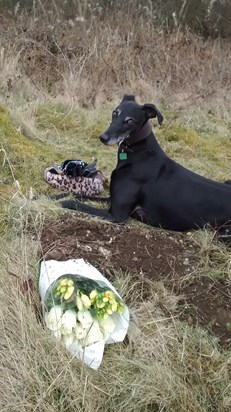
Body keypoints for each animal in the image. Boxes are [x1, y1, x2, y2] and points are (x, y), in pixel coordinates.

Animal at [60, 95, 231, 233]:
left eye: (130, 121)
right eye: (115, 113)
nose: (103, 138)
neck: (139, 154)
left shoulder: (116, 214)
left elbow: (75, 203)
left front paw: (63, 201)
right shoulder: (111, 199)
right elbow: (80, 195)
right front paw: (59, 195)